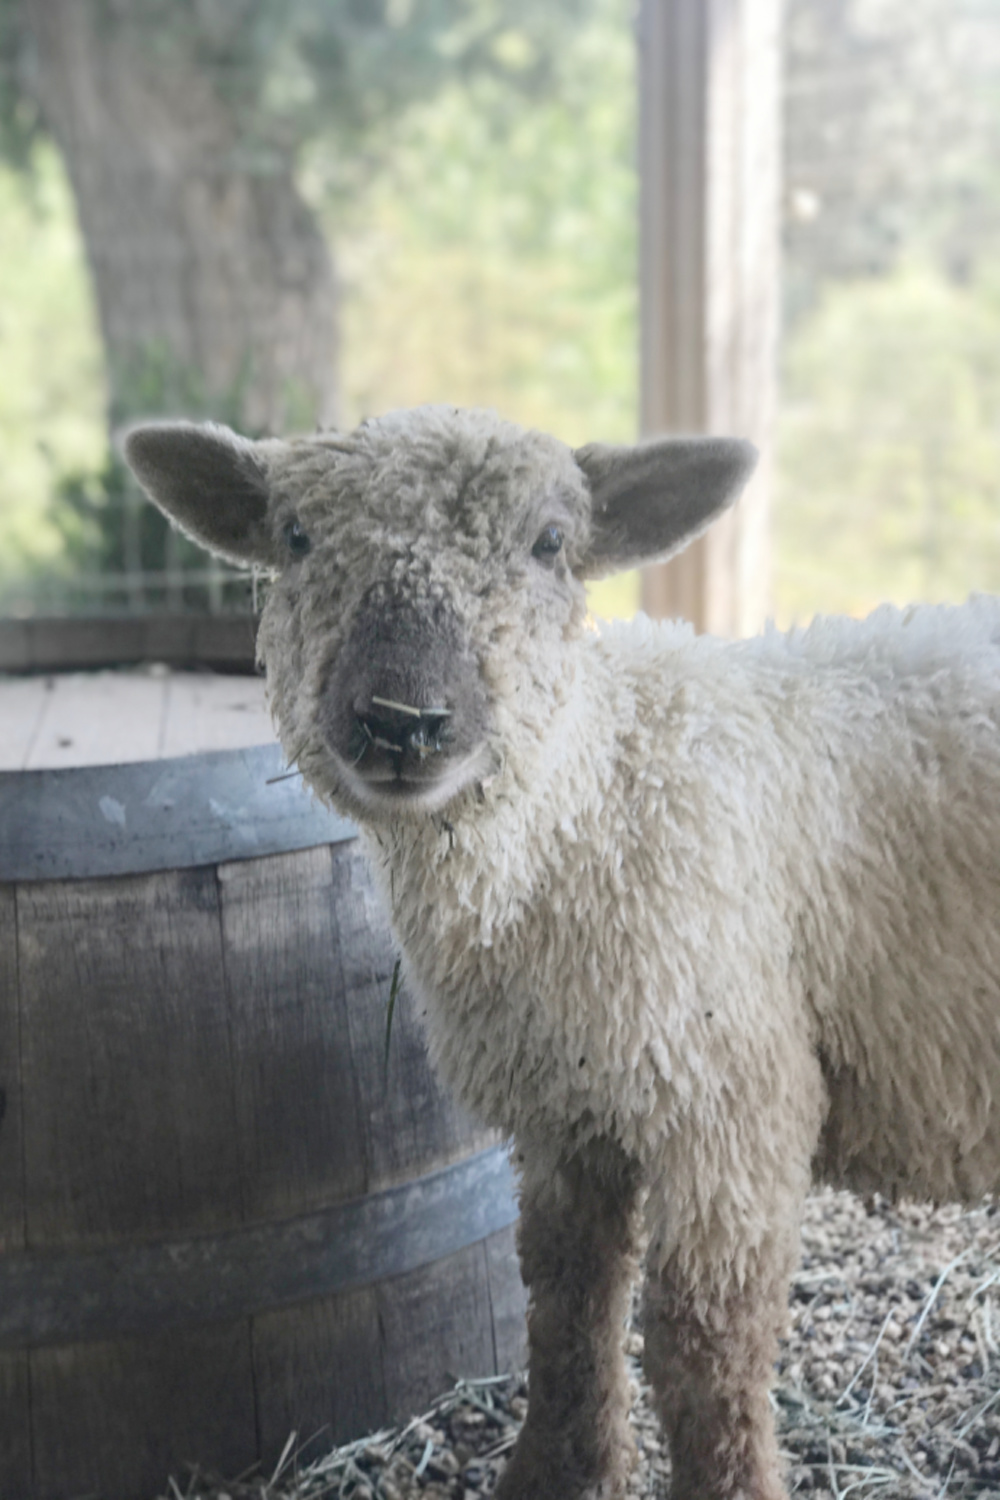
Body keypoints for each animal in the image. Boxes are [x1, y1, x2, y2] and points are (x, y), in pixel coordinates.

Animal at [127, 405, 1000, 1500]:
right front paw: (555, 1472)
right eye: (295, 536)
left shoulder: (735, 1098)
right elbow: (566, 1303)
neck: (596, 798)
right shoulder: (565, 1109)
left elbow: (701, 1345)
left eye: (548, 542)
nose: (403, 721)